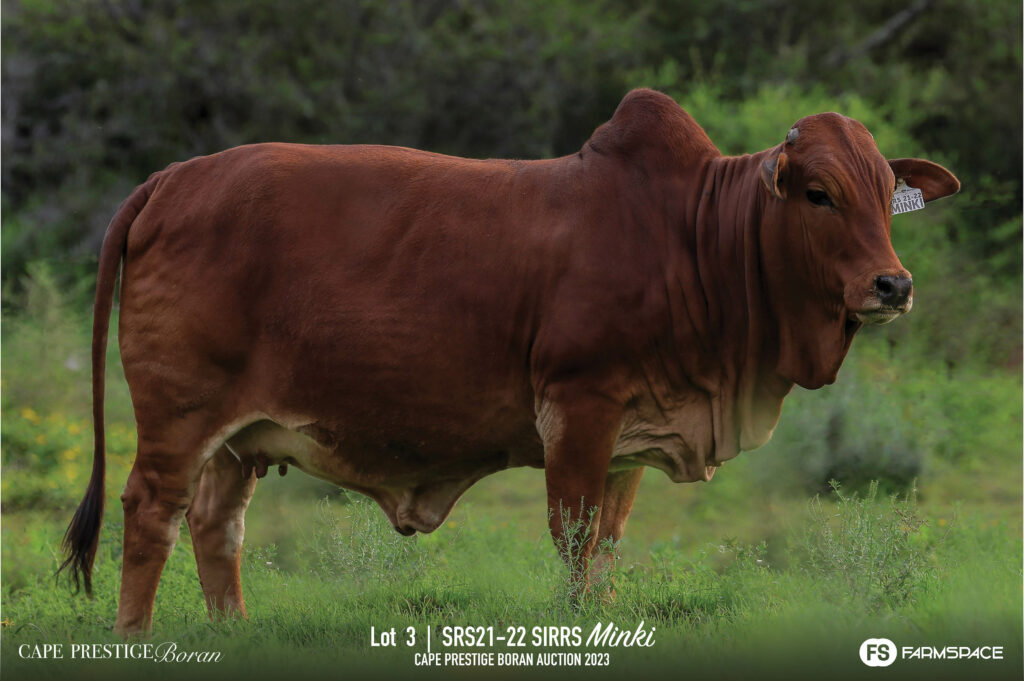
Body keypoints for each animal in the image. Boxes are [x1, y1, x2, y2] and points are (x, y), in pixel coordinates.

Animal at [59, 89, 959, 635]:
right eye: (819, 194)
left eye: (887, 196)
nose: (893, 284)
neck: (692, 238)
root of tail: (174, 178)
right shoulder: (580, 409)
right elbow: (575, 539)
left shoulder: (631, 436)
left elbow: (608, 548)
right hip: (178, 414)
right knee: (151, 512)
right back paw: (137, 636)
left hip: (239, 436)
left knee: (217, 523)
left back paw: (235, 631)